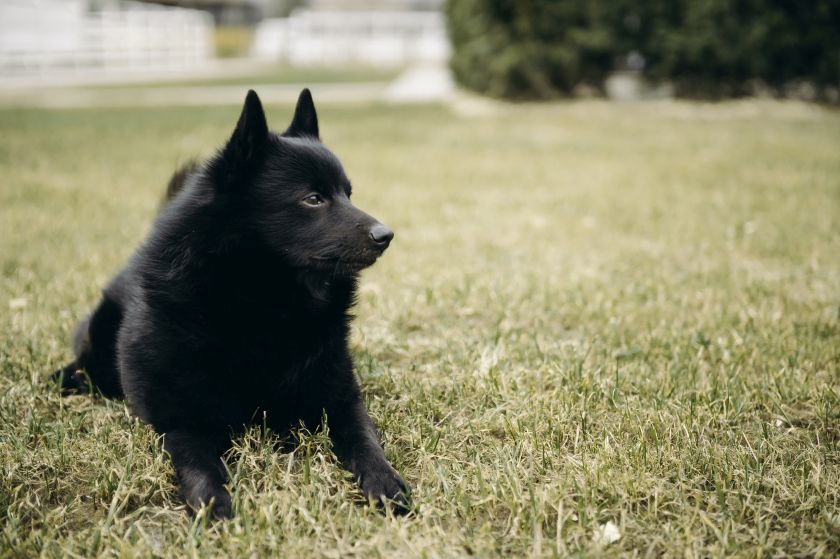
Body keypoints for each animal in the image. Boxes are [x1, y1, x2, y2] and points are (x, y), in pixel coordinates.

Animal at [50, 88, 408, 520]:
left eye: (347, 194)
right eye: (313, 199)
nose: (385, 235)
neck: (263, 302)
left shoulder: (339, 399)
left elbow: (364, 439)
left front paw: (383, 480)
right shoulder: (183, 419)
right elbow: (197, 461)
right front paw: (213, 504)